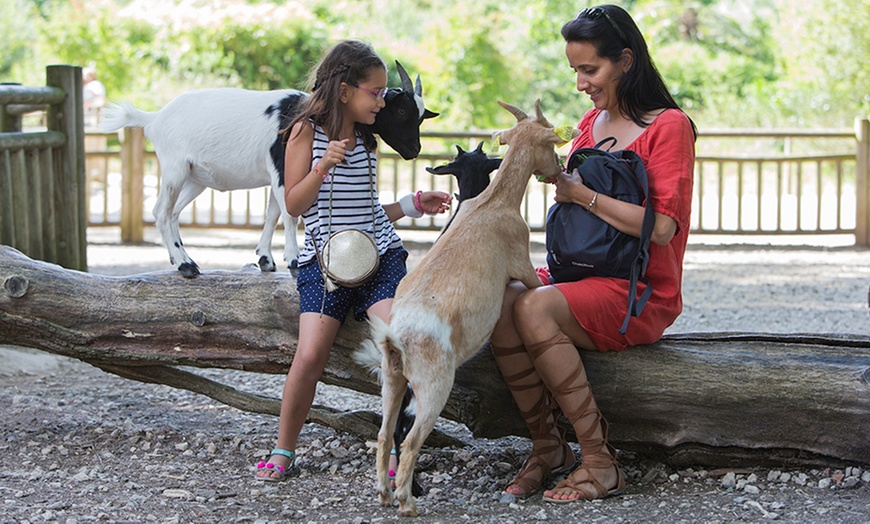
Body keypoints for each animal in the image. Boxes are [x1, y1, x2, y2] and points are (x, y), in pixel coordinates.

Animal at [102, 62, 440, 278]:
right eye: (401, 109)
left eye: (422, 115)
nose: (414, 150)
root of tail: (153, 119)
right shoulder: (282, 165)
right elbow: (289, 214)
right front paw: (292, 260)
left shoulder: (278, 175)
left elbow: (272, 213)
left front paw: (265, 259)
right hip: (174, 167)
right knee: (160, 210)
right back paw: (185, 265)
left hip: (195, 178)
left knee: (172, 213)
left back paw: (181, 258)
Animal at [362, 99, 580, 516]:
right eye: (550, 142)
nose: (559, 169)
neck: (494, 202)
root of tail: (396, 338)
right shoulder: (520, 260)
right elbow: (538, 284)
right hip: (433, 385)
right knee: (410, 440)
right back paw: (406, 502)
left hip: (392, 379)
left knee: (383, 434)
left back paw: (383, 494)